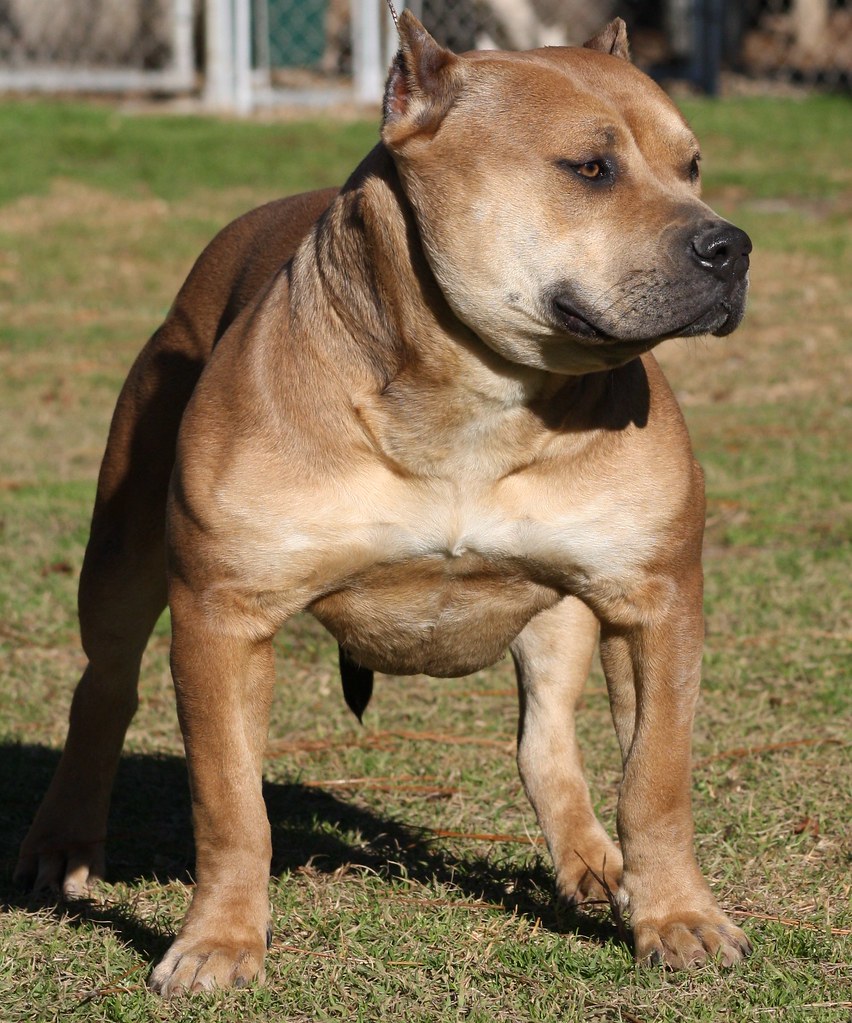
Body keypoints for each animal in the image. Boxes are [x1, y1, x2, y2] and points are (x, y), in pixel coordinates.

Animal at [16, 14, 752, 990]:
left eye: (693, 166)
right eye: (591, 169)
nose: (730, 246)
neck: (477, 398)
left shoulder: (655, 601)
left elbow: (657, 778)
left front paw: (677, 915)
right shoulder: (223, 616)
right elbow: (229, 802)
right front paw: (220, 940)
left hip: (563, 610)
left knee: (547, 736)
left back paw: (591, 856)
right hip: (122, 560)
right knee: (103, 687)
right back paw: (60, 845)